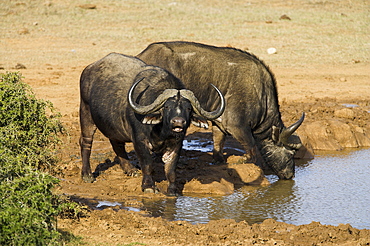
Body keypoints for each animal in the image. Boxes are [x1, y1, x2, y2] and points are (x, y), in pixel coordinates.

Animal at [79, 52, 225, 195]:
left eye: (188, 108)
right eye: (167, 107)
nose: (178, 122)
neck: (161, 132)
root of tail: (89, 69)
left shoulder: (176, 144)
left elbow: (171, 169)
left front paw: (173, 190)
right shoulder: (140, 141)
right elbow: (147, 164)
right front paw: (149, 187)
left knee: (117, 144)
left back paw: (131, 170)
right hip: (85, 113)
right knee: (86, 142)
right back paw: (87, 175)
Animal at [137, 41, 304, 179]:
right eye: (291, 153)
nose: (290, 175)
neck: (261, 94)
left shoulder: (220, 124)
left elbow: (218, 143)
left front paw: (219, 162)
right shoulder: (238, 127)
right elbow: (253, 151)